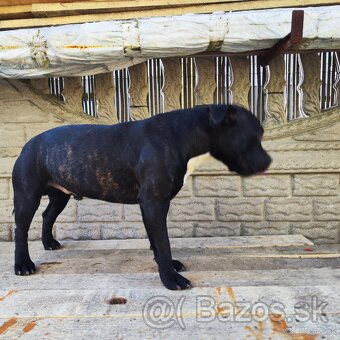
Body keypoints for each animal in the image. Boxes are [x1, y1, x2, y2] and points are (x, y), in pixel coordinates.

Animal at [11, 104, 270, 290]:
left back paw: (48, 243)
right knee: (21, 230)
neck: (184, 133)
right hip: (27, 197)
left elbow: (156, 241)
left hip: (59, 196)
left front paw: (167, 266)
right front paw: (170, 278)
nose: (269, 161)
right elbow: (163, 242)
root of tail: (27, 144)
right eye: (253, 138)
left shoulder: (155, 205)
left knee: (47, 215)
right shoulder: (154, 203)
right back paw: (23, 264)